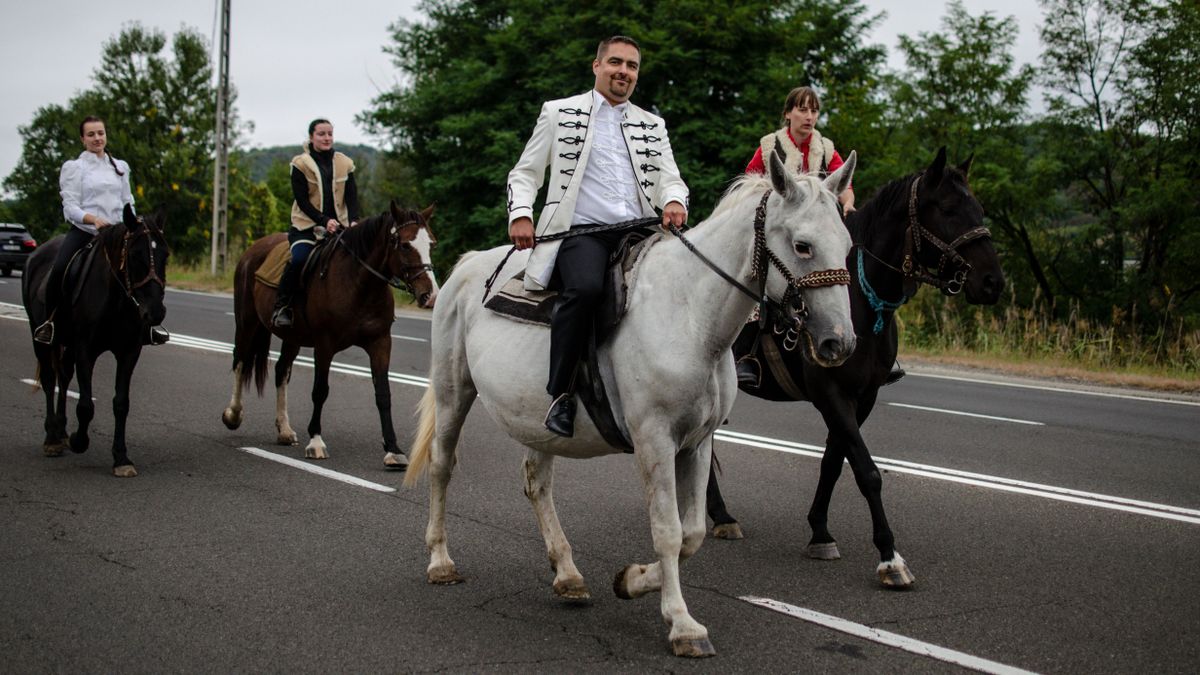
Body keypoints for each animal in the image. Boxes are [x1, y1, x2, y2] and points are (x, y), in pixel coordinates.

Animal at [21, 201, 169, 475]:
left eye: (166, 255)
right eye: (135, 255)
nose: (155, 313)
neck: (116, 300)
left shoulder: (129, 352)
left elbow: (121, 403)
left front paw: (121, 458)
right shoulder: (85, 350)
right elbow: (86, 405)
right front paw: (80, 441)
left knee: (63, 377)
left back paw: (61, 431)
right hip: (40, 336)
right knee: (49, 380)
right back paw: (52, 439)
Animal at [220, 196, 436, 466]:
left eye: (431, 244)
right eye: (406, 245)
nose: (430, 296)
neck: (358, 284)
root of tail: (254, 249)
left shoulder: (380, 342)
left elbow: (383, 393)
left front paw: (393, 449)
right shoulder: (325, 344)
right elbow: (320, 390)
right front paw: (316, 441)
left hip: (293, 336)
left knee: (281, 370)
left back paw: (285, 430)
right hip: (247, 321)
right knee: (239, 360)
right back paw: (233, 415)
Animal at [408, 149, 859, 653]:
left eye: (846, 244)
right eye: (802, 246)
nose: (839, 342)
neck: (690, 314)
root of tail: (466, 267)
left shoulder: (697, 443)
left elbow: (693, 533)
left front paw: (631, 580)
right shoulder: (654, 441)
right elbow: (668, 532)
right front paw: (682, 623)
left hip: (535, 421)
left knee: (536, 484)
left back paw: (568, 574)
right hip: (453, 390)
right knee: (442, 465)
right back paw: (441, 562)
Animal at [710, 147, 1003, 583]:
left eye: (979, 208)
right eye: (949, 209)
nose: (992, 282)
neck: (861, 304)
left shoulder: (862, 398)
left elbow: (834, 463)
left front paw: (820, 532)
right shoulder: (830, 393)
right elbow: (867, 471)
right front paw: (889, 556)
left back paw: (719, 513)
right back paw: (720, 514)